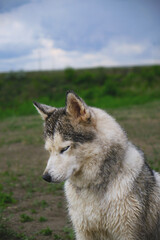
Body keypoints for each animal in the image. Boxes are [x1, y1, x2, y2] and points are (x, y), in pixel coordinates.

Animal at [33, 91, 160, 239]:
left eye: (65, 148)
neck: (93, 186)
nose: (45, 177)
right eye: (49, 151)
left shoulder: (128, 233)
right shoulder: (83, 232)